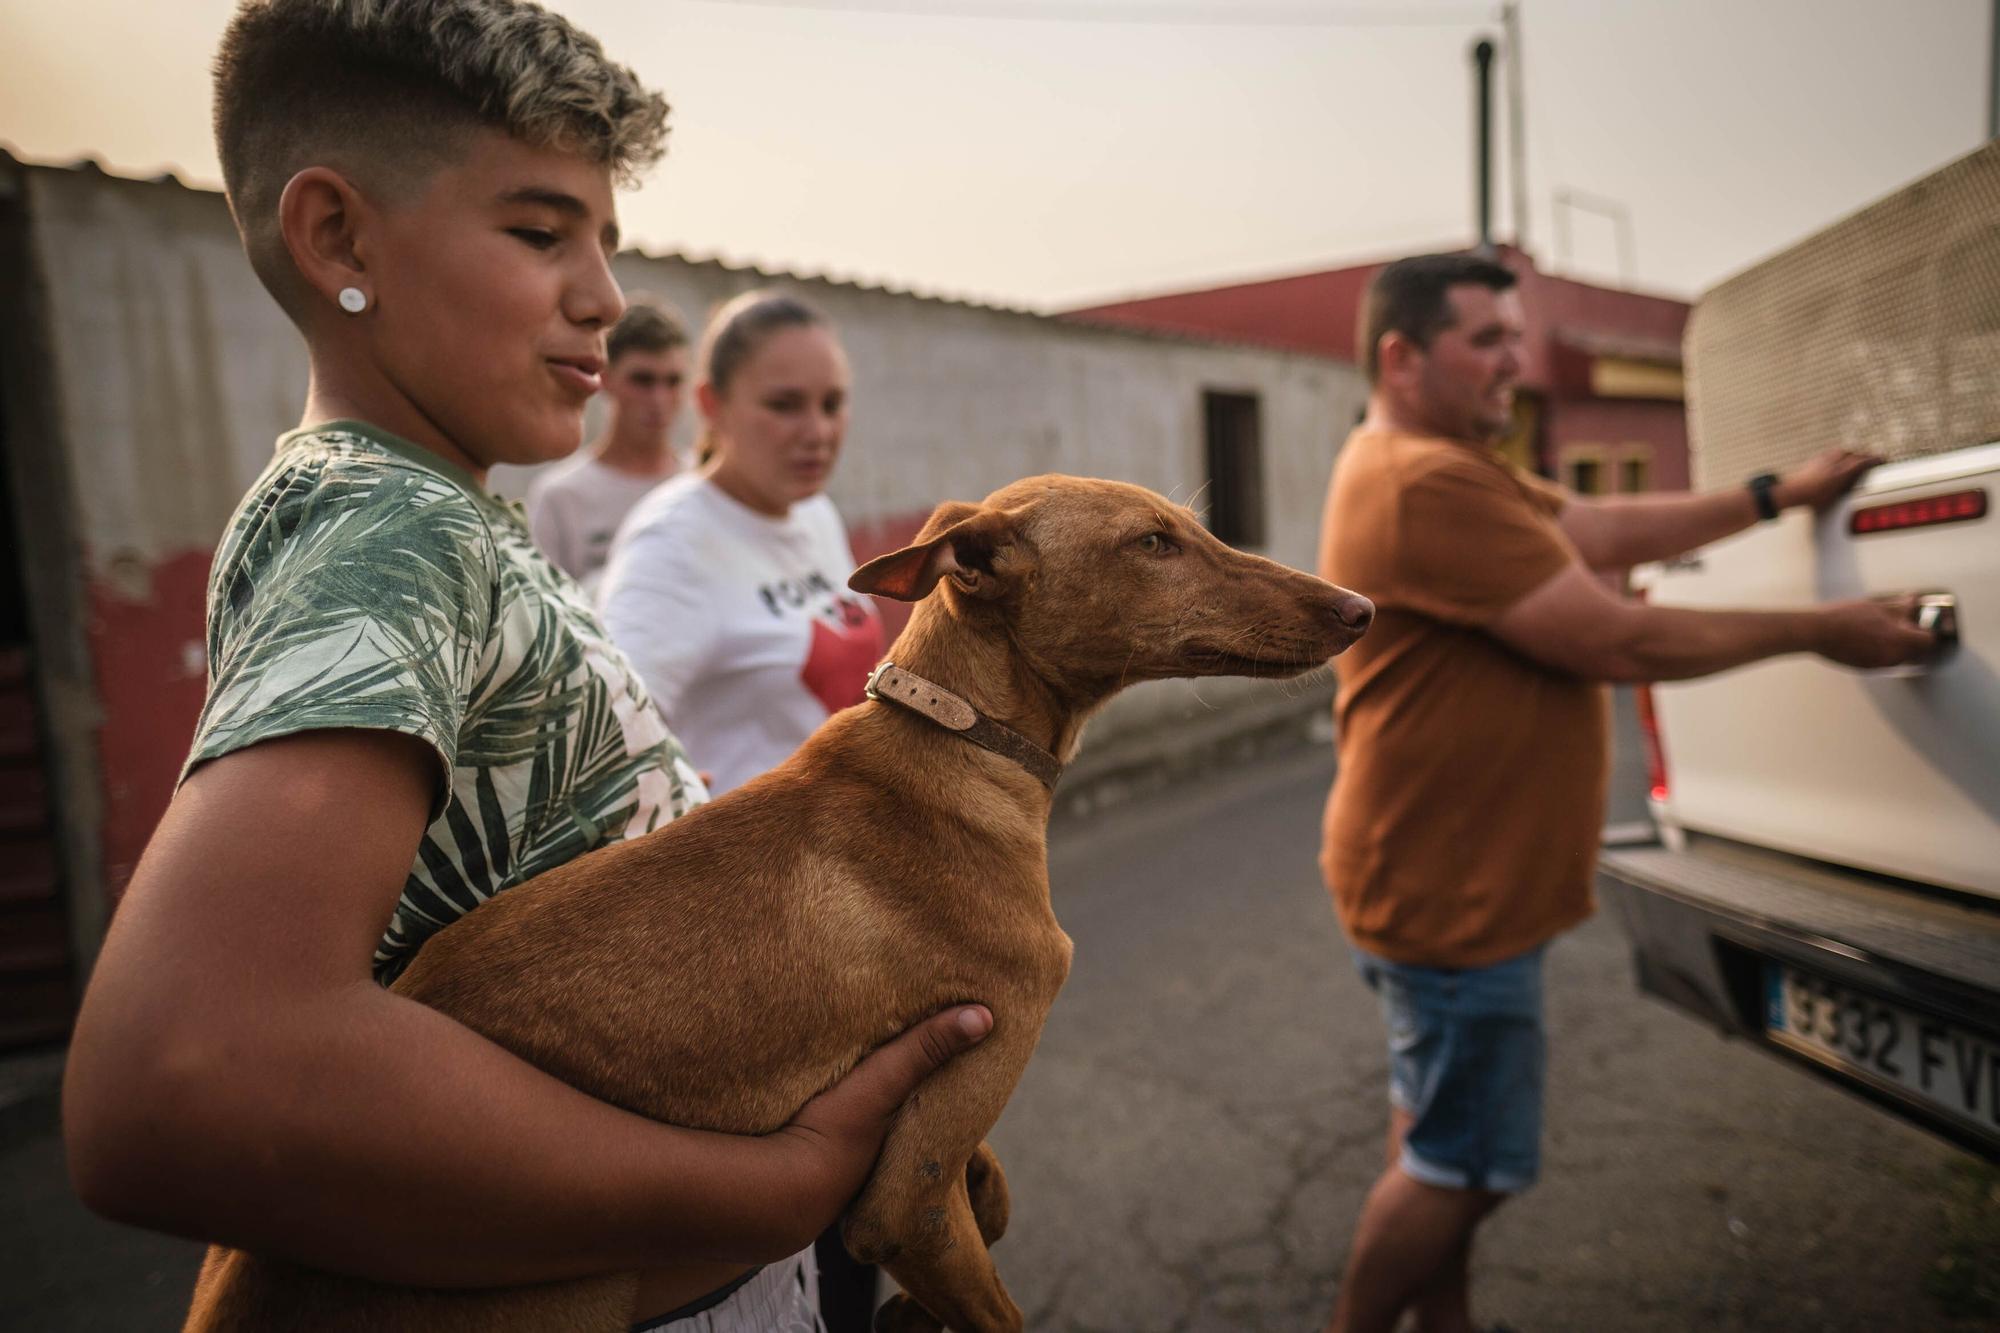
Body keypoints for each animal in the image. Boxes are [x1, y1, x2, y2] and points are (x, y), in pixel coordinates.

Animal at [184, 474, 1376, 1328]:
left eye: (1185, 528)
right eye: (1152, 543)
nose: (1359, 605)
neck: (952, 744)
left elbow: (983, 1188)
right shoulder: (911, 1189)